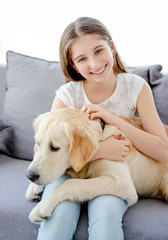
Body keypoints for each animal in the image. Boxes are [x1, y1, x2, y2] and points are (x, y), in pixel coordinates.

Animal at [25, 107, 168, 223]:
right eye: (37, 143)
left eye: (54, 148)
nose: (30, 176)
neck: (102, 137)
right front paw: (33, 188)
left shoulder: (122, 183)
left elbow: (71, 183)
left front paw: (42, 206)